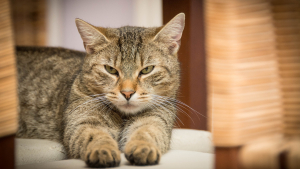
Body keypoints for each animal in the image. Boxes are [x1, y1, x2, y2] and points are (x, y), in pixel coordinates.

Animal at [16, 12, 185, 167]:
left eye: (147, 70)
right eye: (110, 69)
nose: (127, 93)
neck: (122, 117)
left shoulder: (156, 119)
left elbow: (146, 131)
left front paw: (143, 147)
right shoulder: (83, 121)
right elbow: (95, 135)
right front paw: (102, 150)